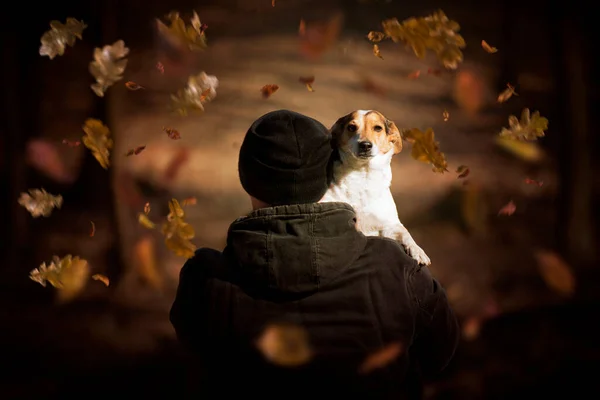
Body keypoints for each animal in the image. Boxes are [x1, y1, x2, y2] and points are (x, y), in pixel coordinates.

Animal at [322, 109, 428, 266]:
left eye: (378, 128)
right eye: (351, 127)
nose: (365, 145)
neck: (363, 175)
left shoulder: (389, 225)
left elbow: (405, 231)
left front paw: (418, 251)